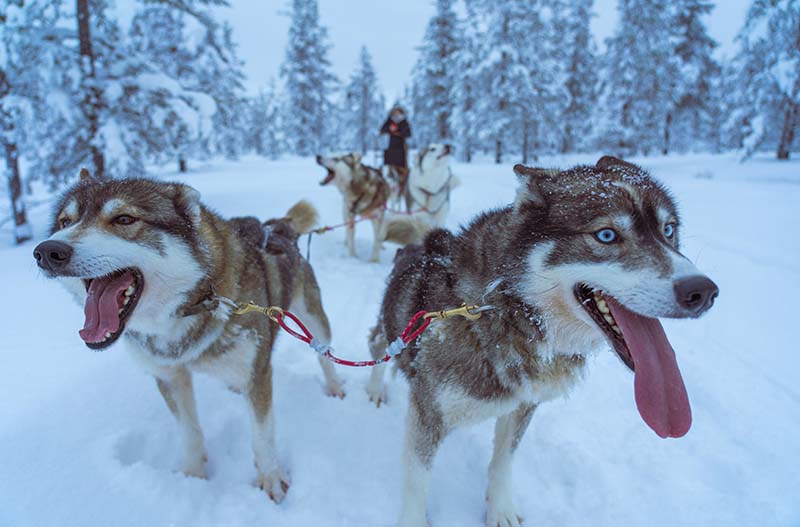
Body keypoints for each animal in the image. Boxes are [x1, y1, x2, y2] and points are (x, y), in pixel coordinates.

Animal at [32, 169, 346, 504]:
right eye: (65, 222)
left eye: (124, 219)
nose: (47, 251)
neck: (194, 303)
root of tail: (276, 226)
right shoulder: (169, 376)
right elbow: (189, 431)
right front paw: (193, 476)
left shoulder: (257, 373)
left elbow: (262, 435)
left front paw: (271, 477)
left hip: (313, 319)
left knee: (324, 354)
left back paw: (335, 386)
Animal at [368, 156, 720, 527]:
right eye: (606, 235)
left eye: (668, 230)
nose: (702, 291)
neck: (505, 309)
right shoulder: (428, 412)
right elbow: (417, 480)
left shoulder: (523, 404)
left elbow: (503, 460)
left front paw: (500, 509)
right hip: (389, 332)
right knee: (377, 346)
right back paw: (375, 388)